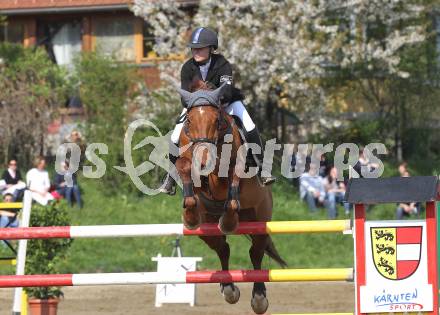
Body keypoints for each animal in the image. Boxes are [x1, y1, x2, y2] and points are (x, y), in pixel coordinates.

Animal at [174, 80, 288, 314]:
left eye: (217, 120)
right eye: (188, 120)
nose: (203, 161)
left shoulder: (235, 167)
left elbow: (228, 178)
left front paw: (227, 219)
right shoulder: (187, 163)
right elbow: (186, 172)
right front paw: (189, 216)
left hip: (259, 219)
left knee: (256, 253)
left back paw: (259, 297)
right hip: (207, 228)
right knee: (222, 248)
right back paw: (228, 288)